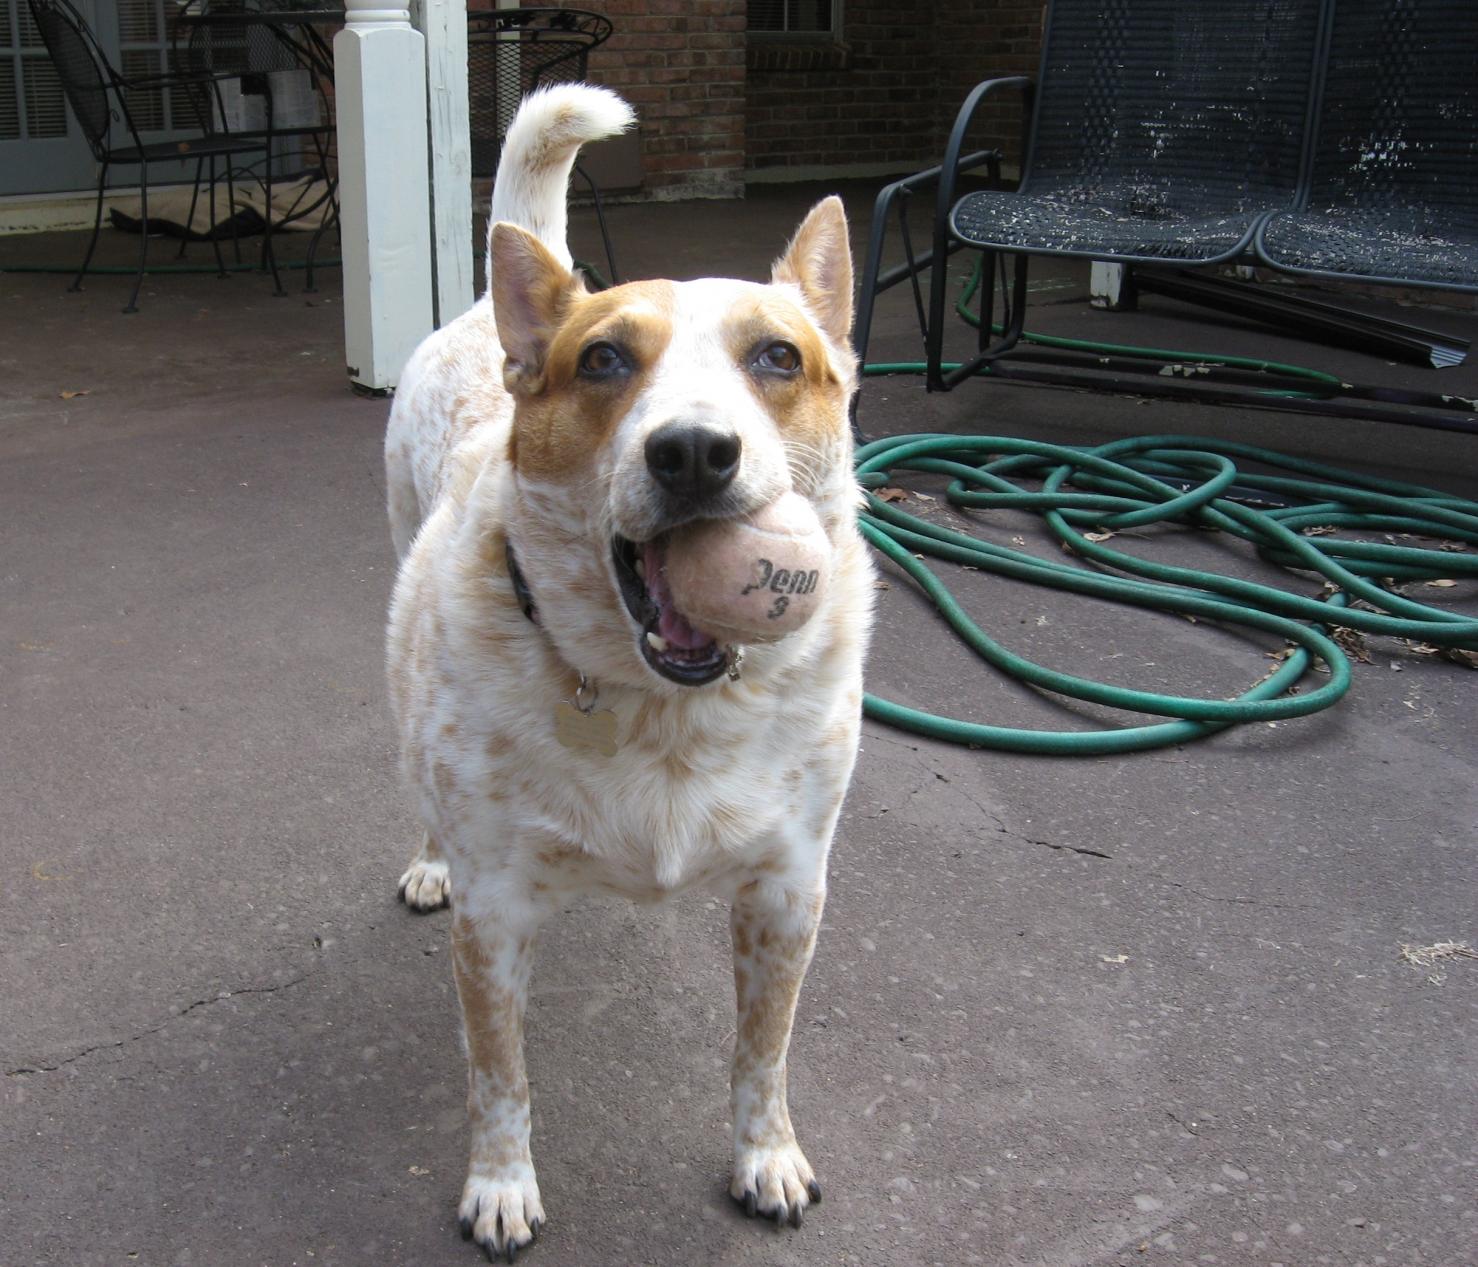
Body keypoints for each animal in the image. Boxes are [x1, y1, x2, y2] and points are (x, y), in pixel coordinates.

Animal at [383, 83, 874, 1261]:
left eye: (777, 358)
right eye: (603, 360)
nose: (692, 451)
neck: (662, 713)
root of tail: (498, 300)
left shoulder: (790, 887)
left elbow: (762, 1052)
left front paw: (766, 1158)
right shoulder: (494, 914)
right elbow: (498, 1076)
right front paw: (500, 1186)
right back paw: (423, 858)